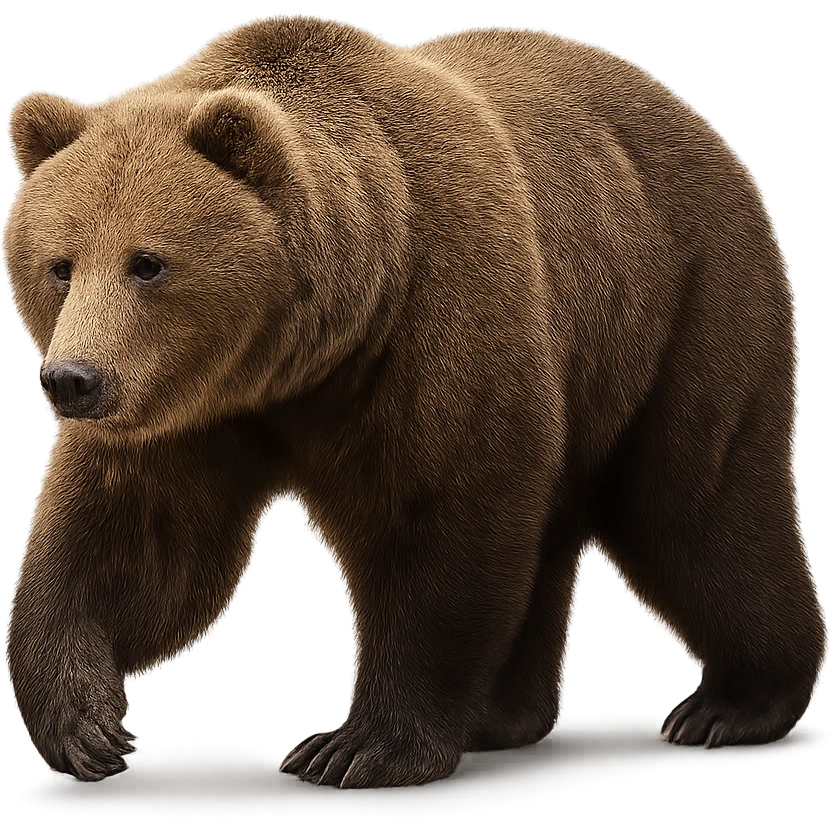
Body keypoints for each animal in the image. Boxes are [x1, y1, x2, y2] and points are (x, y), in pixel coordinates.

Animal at [1, 12, 826, 789]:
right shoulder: (192, 407)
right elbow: (136, 537)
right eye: (59, 264)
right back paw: (504, 714)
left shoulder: (434, 315)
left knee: (695, 504)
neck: (305, 348)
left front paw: (356, 747)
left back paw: (732, 703)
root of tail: (696, 119)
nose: (72, 379)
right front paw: (85, 723)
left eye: (148, 263)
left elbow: (439, 518)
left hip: (681, 301)